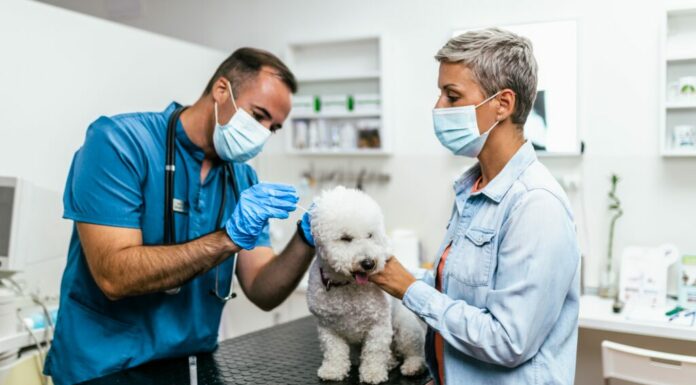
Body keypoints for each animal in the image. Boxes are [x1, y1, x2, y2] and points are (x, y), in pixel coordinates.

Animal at [304, 184, 424, 382]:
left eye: (370, 235)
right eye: (345, 238)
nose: (369, 263)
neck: (347, 286)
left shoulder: (378, 325)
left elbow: (374, 352)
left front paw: (373, 373)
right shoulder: (327, 327)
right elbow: (334, 351)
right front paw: (333, 370)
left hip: (404, 328)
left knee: (413, 350)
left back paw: (413, 365)